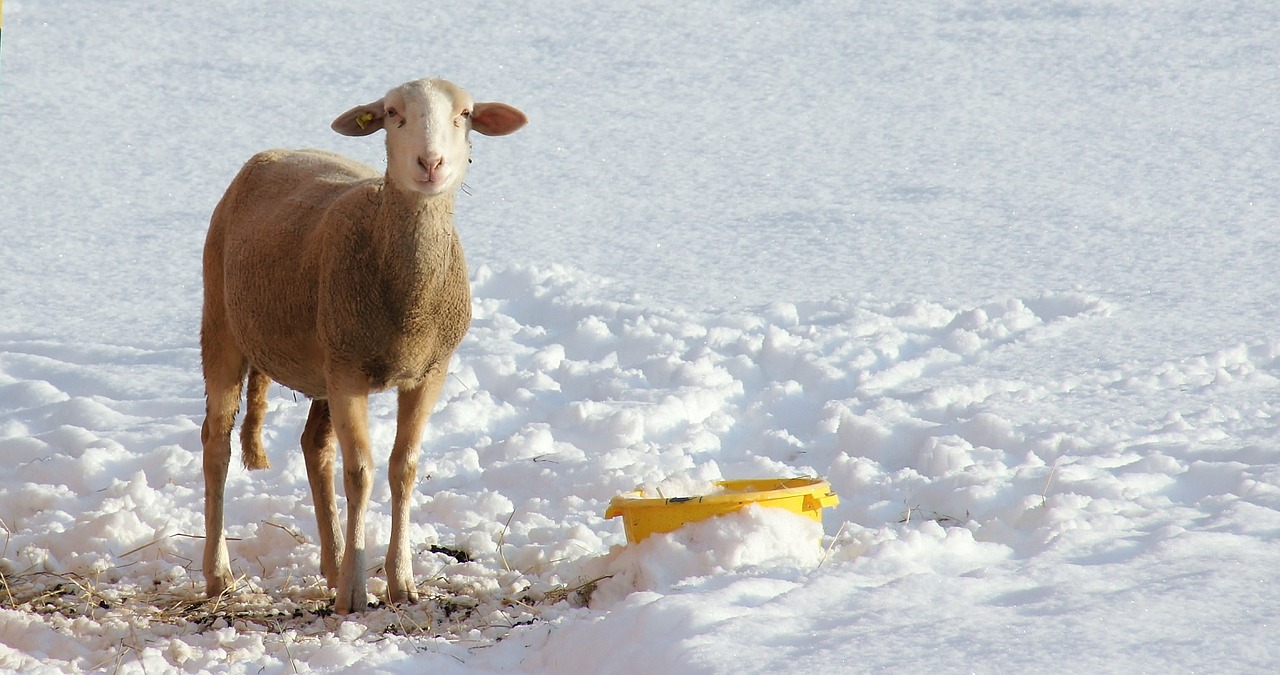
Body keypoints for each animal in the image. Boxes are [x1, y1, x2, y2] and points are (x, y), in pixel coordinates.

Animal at [198, 76, 524, 614]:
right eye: (392, 113)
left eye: (465, 115)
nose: (431, 164)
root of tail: (273, 152)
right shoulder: (348, 372)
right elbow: (360, 473)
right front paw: (356, 592)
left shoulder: (429, 369)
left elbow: (402, 469)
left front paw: (400, 582)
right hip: (223, 323)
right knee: (216, 443)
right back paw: (219, 574)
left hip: (325, 359)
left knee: (314, 445)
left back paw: (331, 564)